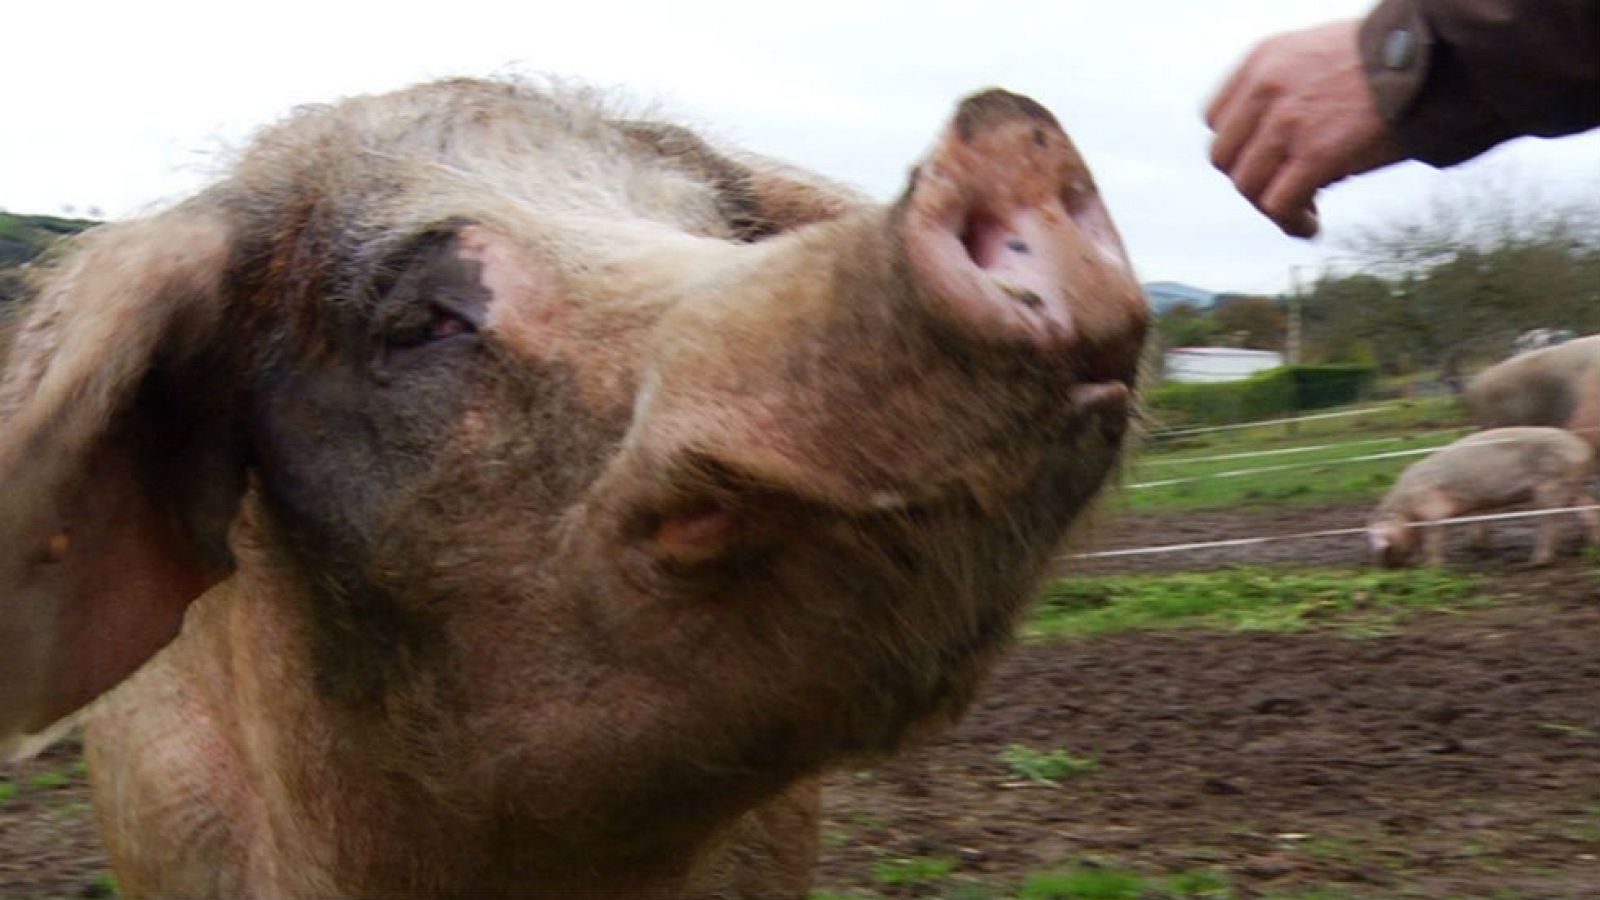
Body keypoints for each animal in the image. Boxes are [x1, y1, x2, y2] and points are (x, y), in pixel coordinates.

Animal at [1368, 426, 1600, 567]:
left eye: (1377, 538)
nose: (1386, 567)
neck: (1405, 510)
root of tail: (1581, 447)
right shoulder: (1475, 502)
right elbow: (1478, 518)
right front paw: (1479, 547)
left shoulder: (1431, 507)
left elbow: (1434, 535)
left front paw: (1432, 567)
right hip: (1575, 484)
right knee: (1589, 508)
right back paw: (1593, 545)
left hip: (1551, 484)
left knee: (1551, 520)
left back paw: (1537, 561)